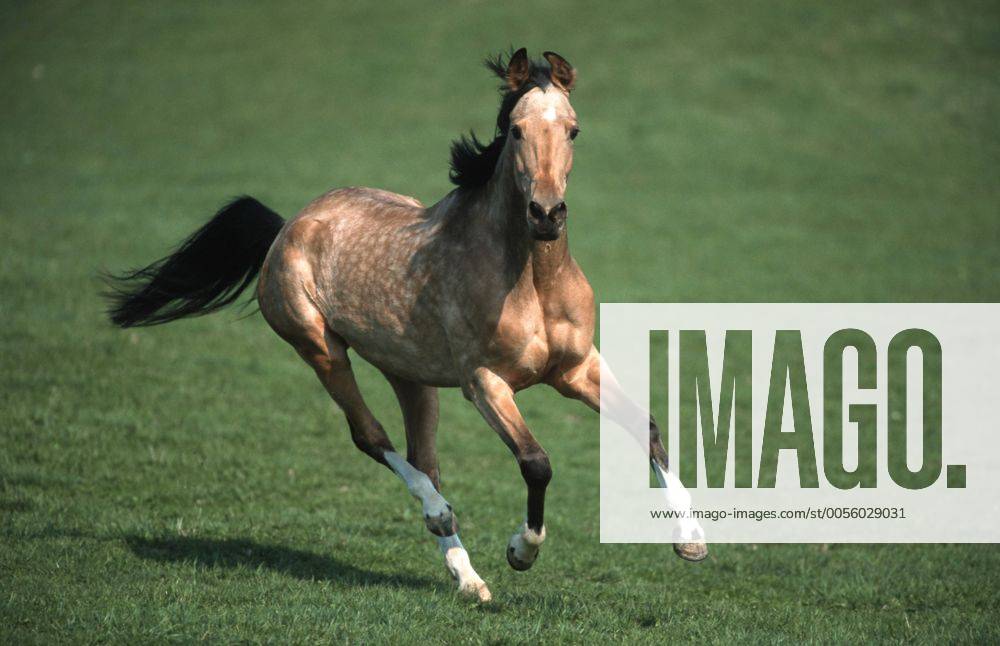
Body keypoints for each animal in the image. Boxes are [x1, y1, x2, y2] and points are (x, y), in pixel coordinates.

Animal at [106, 48, 707, 602]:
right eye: (514, 130)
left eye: (574, 129)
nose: (546, 214)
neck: (530, 278)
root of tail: (287, 227)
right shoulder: (484, 383)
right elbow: (536, 462)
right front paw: (521, 551)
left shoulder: (578, 367)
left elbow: (646, 426)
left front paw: (691, 541)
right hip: (320, 348)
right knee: (371, 437)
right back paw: (441, 517)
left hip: (410, 375)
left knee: (424, 458)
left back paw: (467, 578)